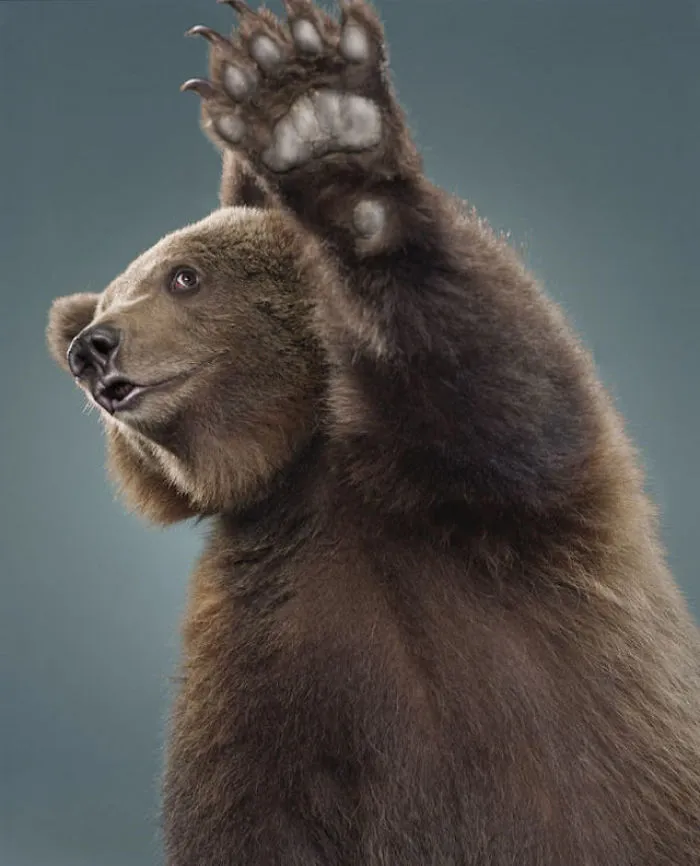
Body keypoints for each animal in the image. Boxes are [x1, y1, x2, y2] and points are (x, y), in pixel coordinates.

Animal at [46, 1, 700, 864]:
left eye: (183, 276)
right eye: (109, 298)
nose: (92, 350)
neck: (301, 470)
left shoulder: (498, 510)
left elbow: (502, 385)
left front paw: (314, 123)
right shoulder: (264, 648)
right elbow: (258, 807)